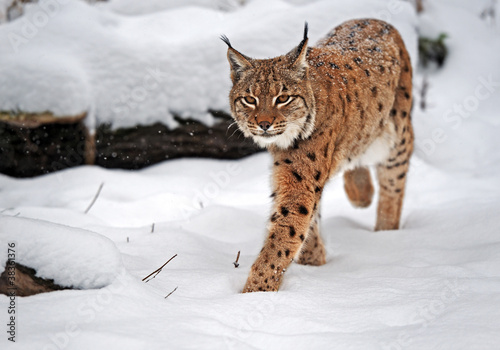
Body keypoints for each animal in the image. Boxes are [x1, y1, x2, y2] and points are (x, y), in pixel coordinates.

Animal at [223, 19, 414, 292]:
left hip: (396, 135)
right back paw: (360, 194)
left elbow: (283, 237)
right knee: (356, 152)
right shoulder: (296, 178)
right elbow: (305, 223)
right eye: (250, 99)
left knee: (394, 178)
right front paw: (314, 261)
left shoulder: (300, 183)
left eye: (283, 98)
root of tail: (376, 20)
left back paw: (387, 234)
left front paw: (255, 292)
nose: (264, 124)